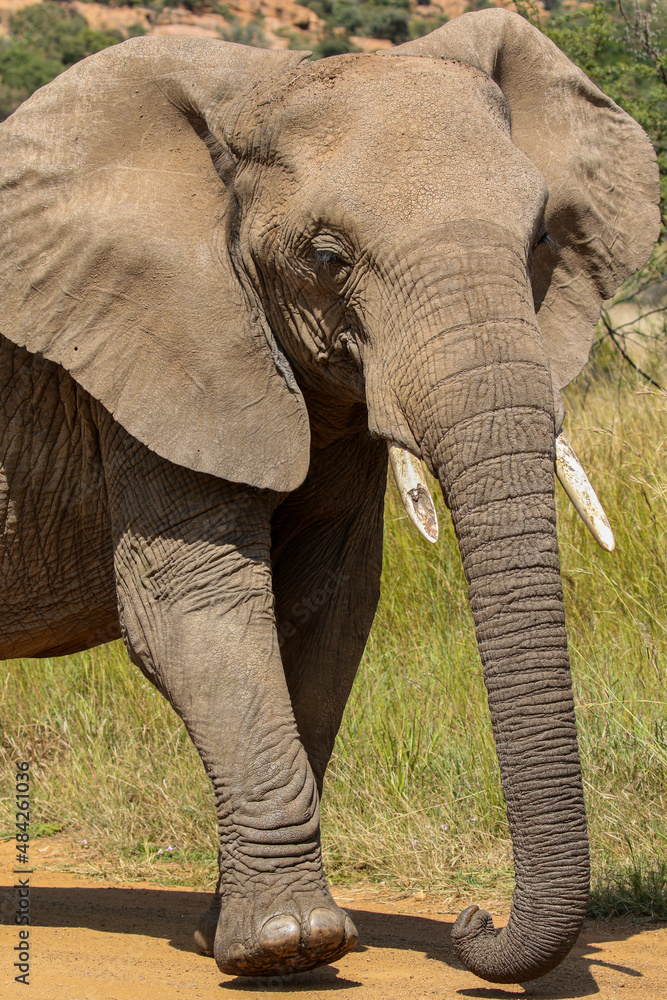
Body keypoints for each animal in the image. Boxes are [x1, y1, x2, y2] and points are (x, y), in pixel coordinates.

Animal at [0, 5, 656, 984]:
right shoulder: (160, 340)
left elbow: (324, 603)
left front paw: (236, 935)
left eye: (541, 238)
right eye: (324, 256)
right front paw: (288, 944)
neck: (256, 86)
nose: (471, 921)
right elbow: (192, 608)